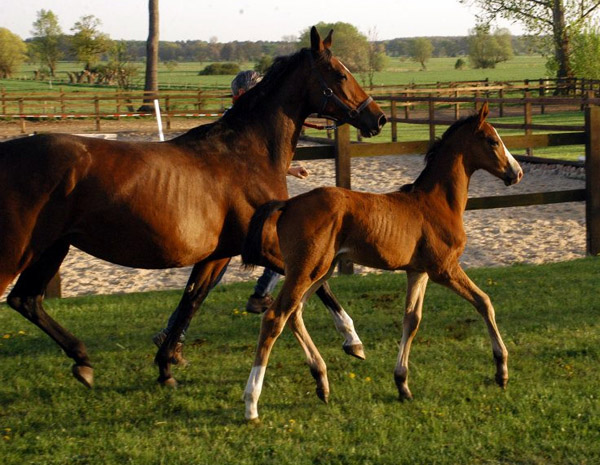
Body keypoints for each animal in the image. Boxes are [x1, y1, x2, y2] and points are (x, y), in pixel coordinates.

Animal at [241, 102, 524, 420]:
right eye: (492, 141)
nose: (517, 172)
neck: (436, 202)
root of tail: (288, 204)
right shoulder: (444, 269)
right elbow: (484, 302)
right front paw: (501, 370)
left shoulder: (418, 271)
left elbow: (411, 319)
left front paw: (402, 384)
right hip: (305, 270)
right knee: (275, 317)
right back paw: (251, 404)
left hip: (319, 271)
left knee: (295, 314)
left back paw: (322, 381)